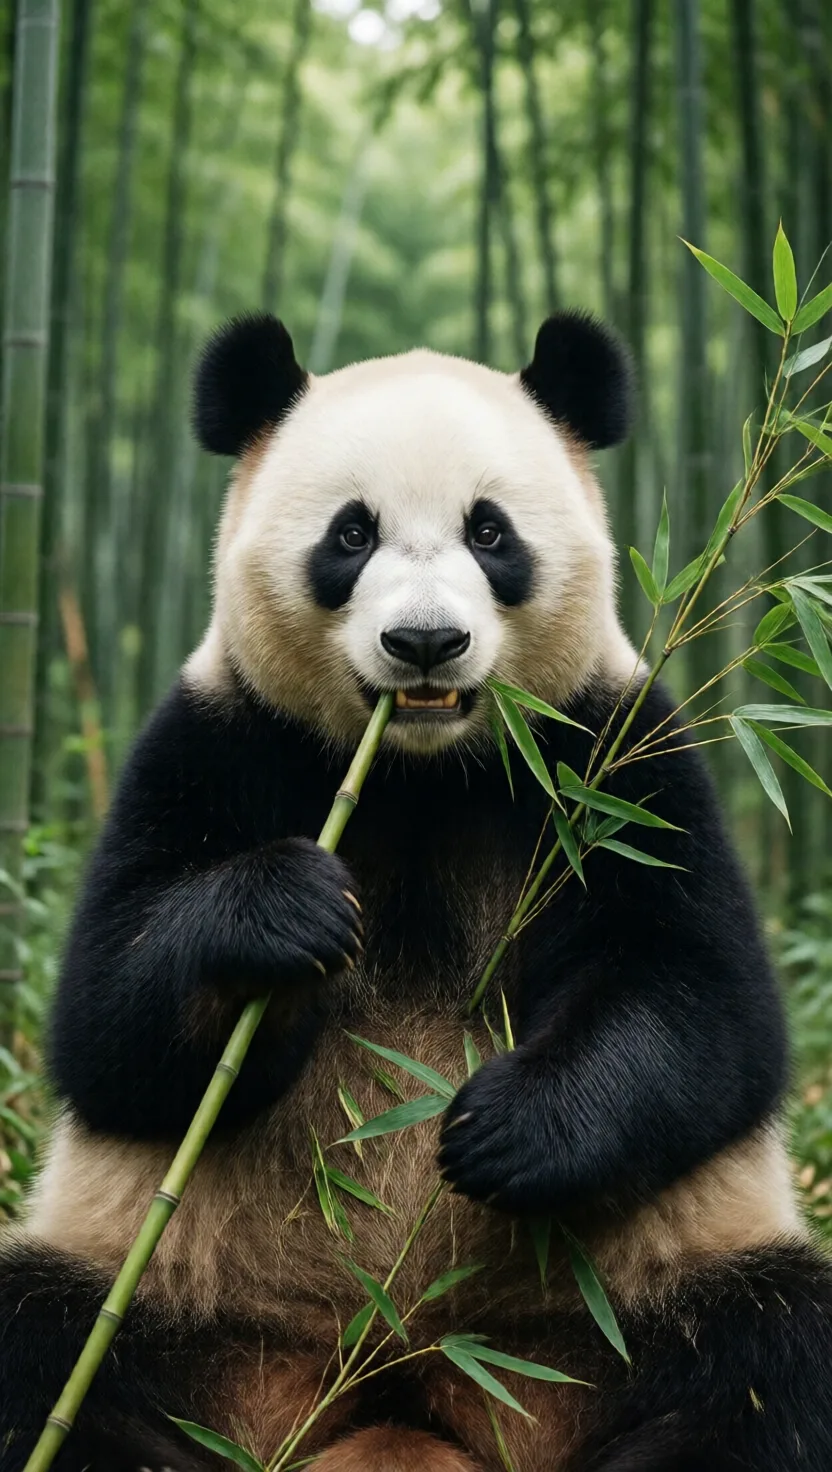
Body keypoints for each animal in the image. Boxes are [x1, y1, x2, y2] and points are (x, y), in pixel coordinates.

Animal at [2, 309, 831, 1472]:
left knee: (768, 1354)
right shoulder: (216, 740)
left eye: (491, 532)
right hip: (174, 1294)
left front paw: (505, 1128)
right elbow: (111, 1020)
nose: (426, 642)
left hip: (621, 1309)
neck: (421, 772)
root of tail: (395, 1383)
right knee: (46, 1342)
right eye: (351, 536)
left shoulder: (615, 759)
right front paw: (287, 913)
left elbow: (700, 999)